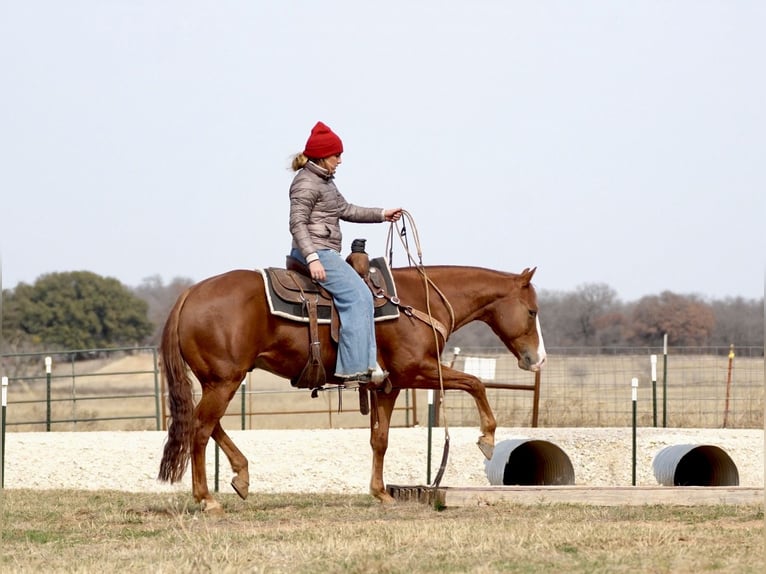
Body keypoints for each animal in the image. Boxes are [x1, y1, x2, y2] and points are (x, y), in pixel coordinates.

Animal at [159, 266, 544, 512]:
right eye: (531, 311)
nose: (537, 359)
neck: (417, 301)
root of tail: (189, 294)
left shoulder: (389, 386)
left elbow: (380, 439)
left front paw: (381, 493)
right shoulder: (417, 371)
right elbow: (475, 383)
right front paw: (487, 439)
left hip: (219, 381)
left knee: (204, 425)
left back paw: (241, 476)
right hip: (224, 381)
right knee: (201, 428)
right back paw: (208, 499)